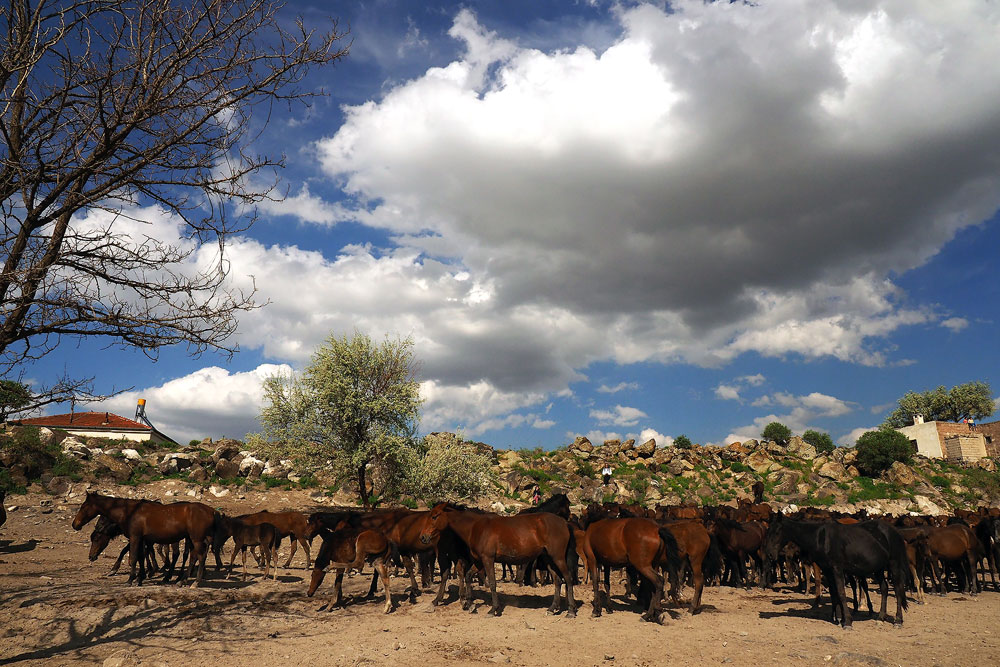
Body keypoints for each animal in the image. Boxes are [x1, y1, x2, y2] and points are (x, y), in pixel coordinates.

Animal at [416, 504, 580, 620]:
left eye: (434, 516)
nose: (423, 537)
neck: (476, 527)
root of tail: (564, 523)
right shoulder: (479, 561)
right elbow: (468, 576)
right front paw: (469, 604)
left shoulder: (488, 559)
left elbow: (493, 583)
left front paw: (493, 609)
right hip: (548, 559)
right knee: (558, 581)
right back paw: (552, 609)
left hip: (558, 558)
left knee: (568, 579)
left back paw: (571, 611)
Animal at [764, 516, 908, 628]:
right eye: (768, 531)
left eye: (777, 531)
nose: (770, 554)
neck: (821, 538)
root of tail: (894, 531)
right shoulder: (828, 570)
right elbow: (834, 594)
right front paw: (839, 618)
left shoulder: (837, 569)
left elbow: (841, 592)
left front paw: (847, 622)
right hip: (878, 568)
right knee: (884, 588)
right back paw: (881, 618)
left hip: (894, 564)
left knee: (897, 589)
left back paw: (898, 620)